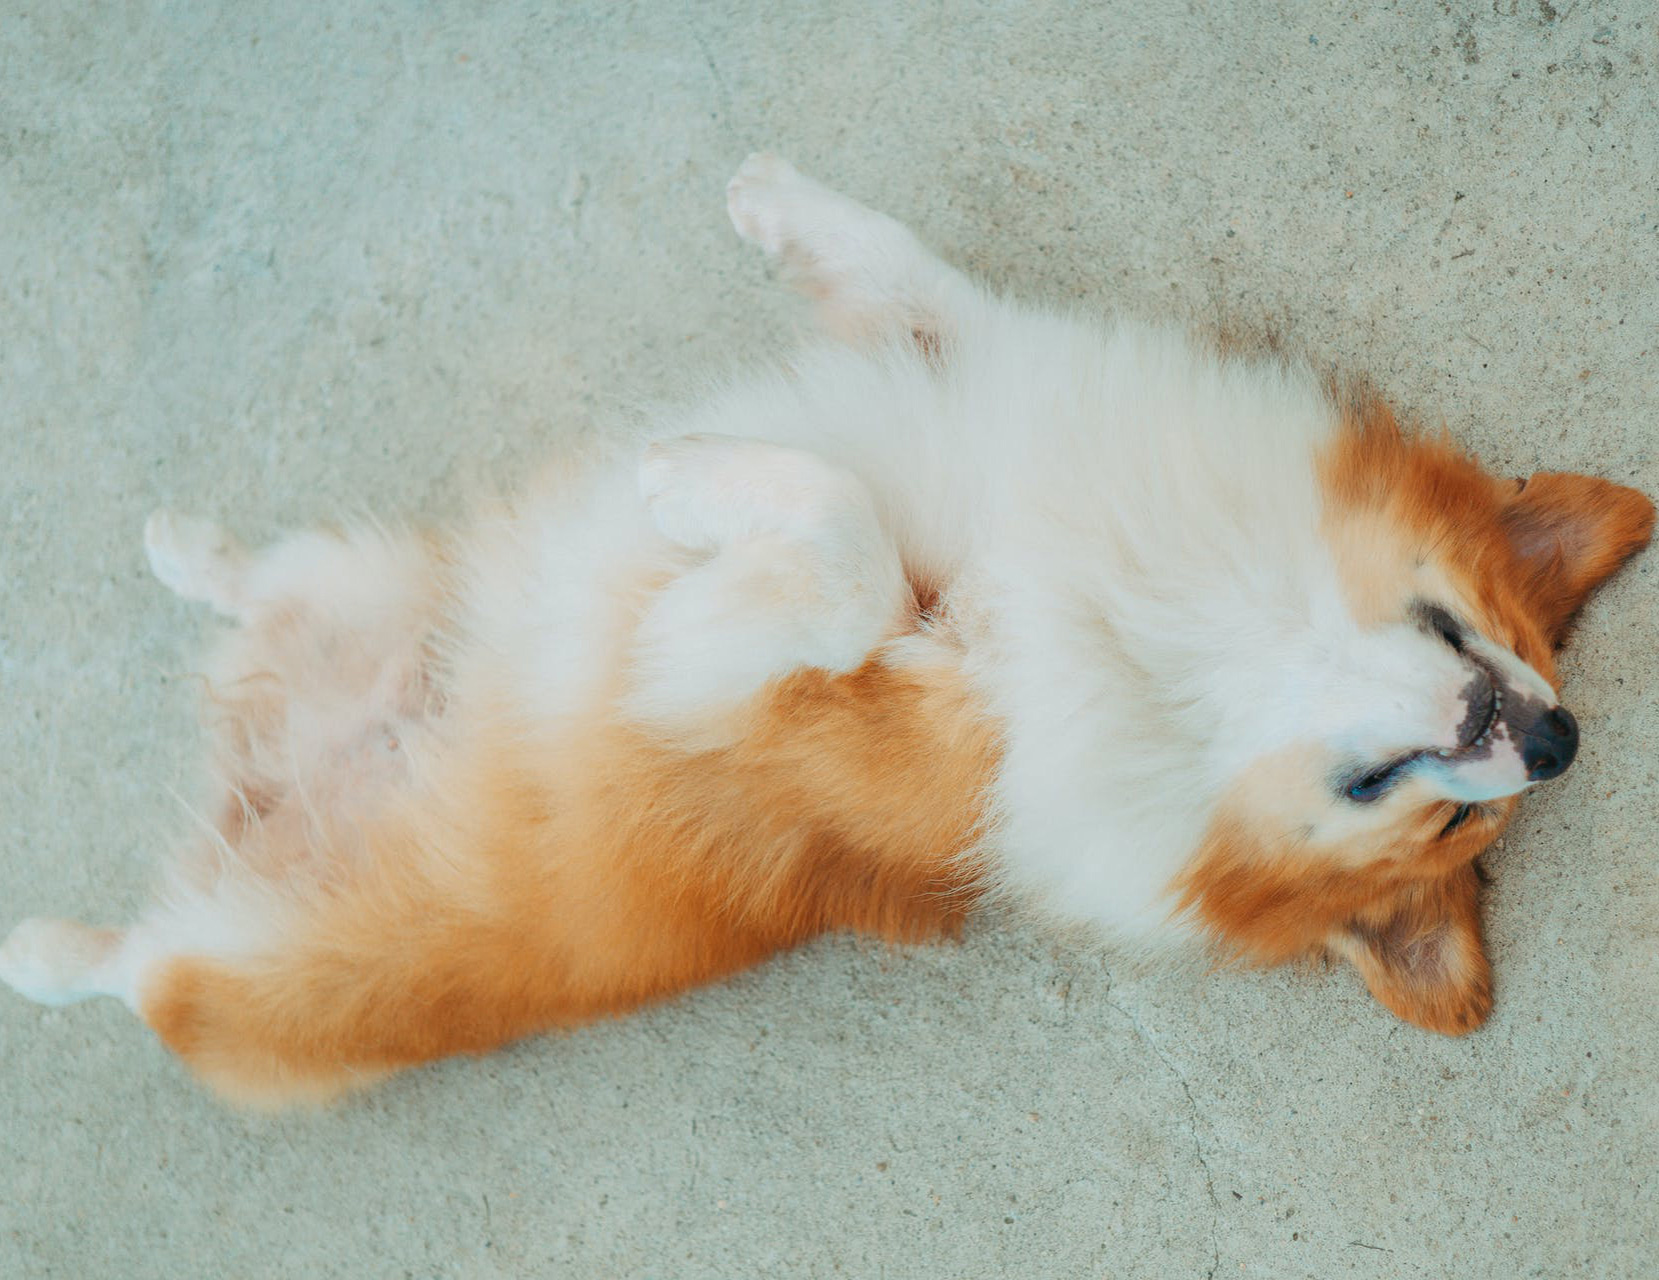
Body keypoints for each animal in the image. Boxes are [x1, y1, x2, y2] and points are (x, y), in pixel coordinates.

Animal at [0, 157, 1645, 1100]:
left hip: (230, 972)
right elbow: (911, 274)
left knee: (124, 968)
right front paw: (772, 204)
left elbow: (835, 548)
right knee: (269, 584)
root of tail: (261, 774)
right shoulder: (981, 375)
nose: (1558, 739)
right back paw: (188, 544)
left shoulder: (771, 688)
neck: (1183, 628)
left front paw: (691, 483)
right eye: (1489, 627)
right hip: (366, 585)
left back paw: (41, 944)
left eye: (1445, 836)